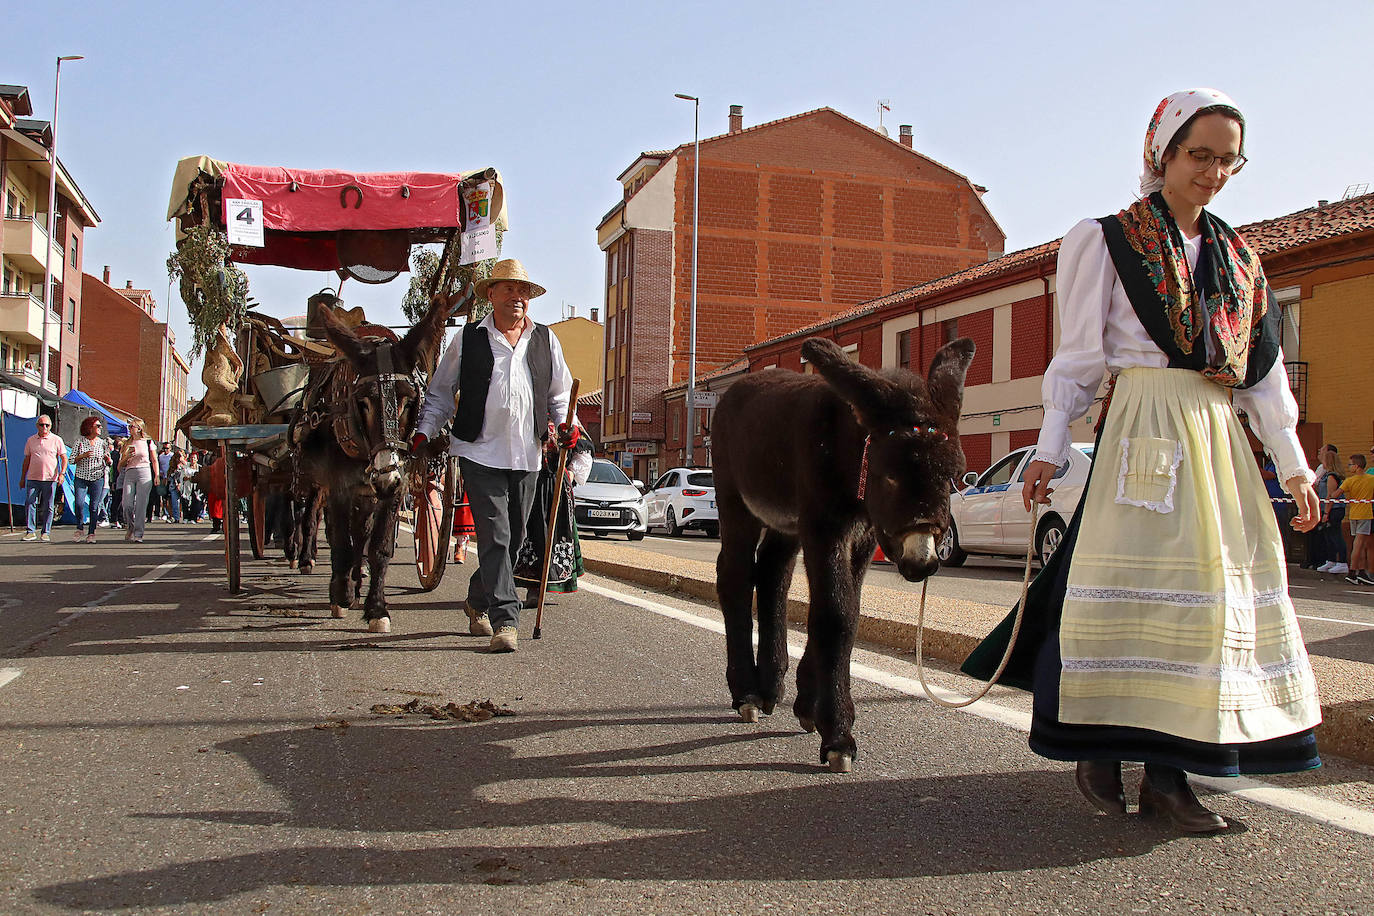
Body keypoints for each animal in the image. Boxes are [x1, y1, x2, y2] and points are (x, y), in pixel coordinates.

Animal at [714, 336, 972, 774]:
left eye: (954, 476)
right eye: (891, 476)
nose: (922, 563)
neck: (849, 449)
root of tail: (736, 388)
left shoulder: (864, 535)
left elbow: (845, 608)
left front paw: (808, 705)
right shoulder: (824, 526)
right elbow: (836, 614)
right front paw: (838, 735)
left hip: (786, 522)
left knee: (772, 573)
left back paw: (770, 687)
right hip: (736, 500)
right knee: (734, 575)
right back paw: (746, 693)